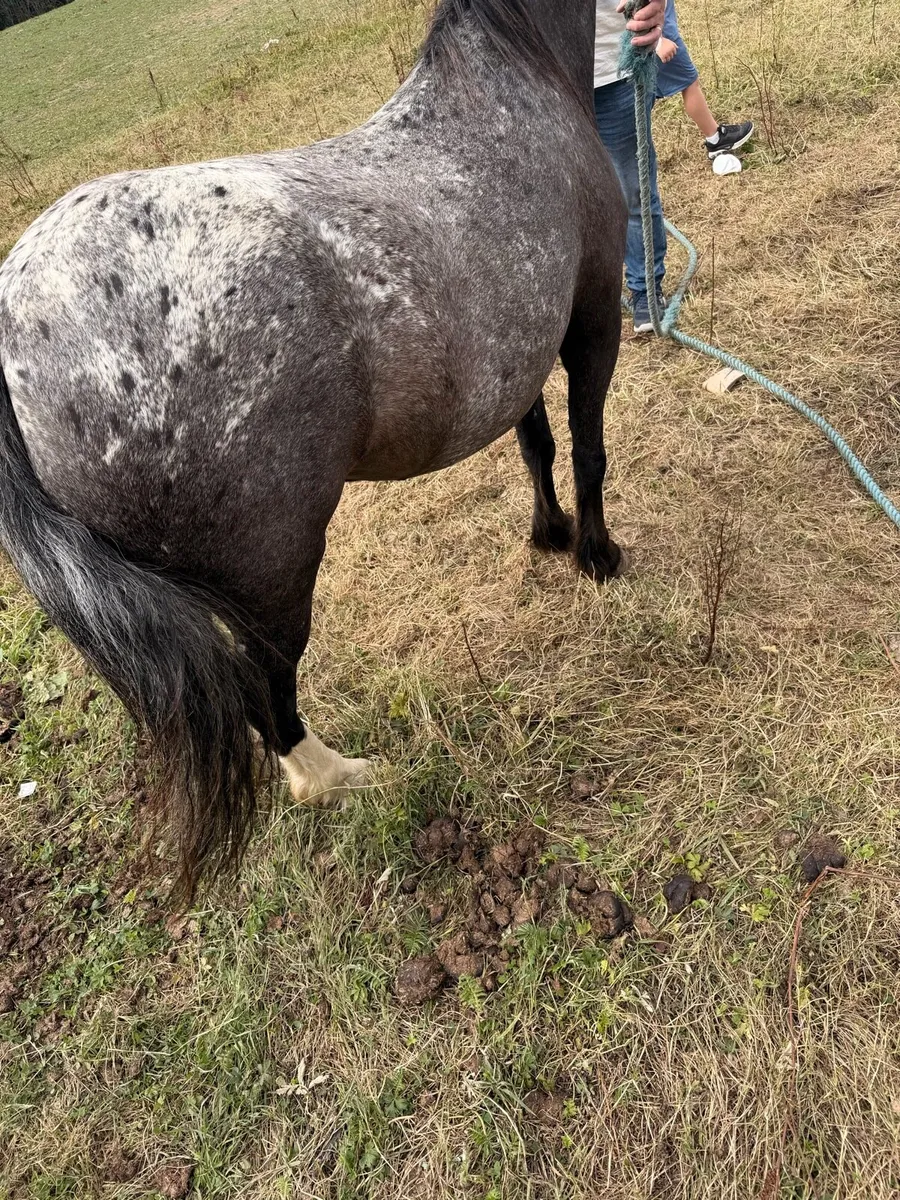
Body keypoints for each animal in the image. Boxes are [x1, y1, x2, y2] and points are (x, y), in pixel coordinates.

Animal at [0, 0, 629, 898]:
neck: (516, 84)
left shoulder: (521, 354)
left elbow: (536, 448)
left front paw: (550, 536)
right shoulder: (593, 323)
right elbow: (587, 452)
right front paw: (597, 554)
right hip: (273, 576)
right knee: (268, 695)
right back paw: (346, 779)